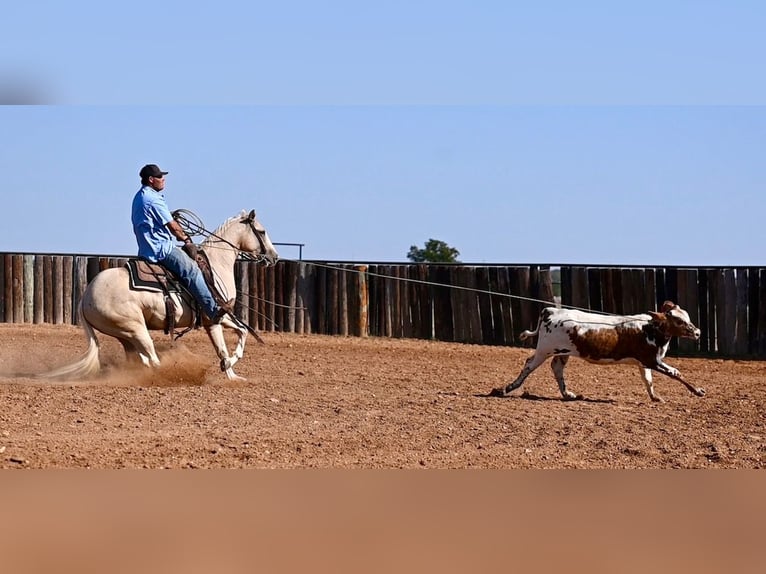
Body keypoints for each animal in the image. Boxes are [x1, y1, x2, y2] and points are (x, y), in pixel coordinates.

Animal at [39, 210, 280, 382]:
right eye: (262, 231)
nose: (274, 257)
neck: (215, 264)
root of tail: (85, 297)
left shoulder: (220, 315)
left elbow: (241, 333)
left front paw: (232, 375)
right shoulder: (213, 316)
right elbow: (224, 347)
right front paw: (228, 365)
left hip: (125, 335)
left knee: (141, 360)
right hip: (135, 329)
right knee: (151, 359)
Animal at [496, 304, 704, 402]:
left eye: (687, 317)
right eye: (678, 321)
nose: (697, 332)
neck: (650, 328)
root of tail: (551, 311)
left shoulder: (644, 363)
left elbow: (648, 380)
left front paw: (655, 397)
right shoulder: (652, 361)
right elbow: (676, 373)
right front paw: (698, 391)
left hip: (563, 352)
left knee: (556, 368)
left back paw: (568, 394)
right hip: (544, 350)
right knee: (529, 364)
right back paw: (506, 388)